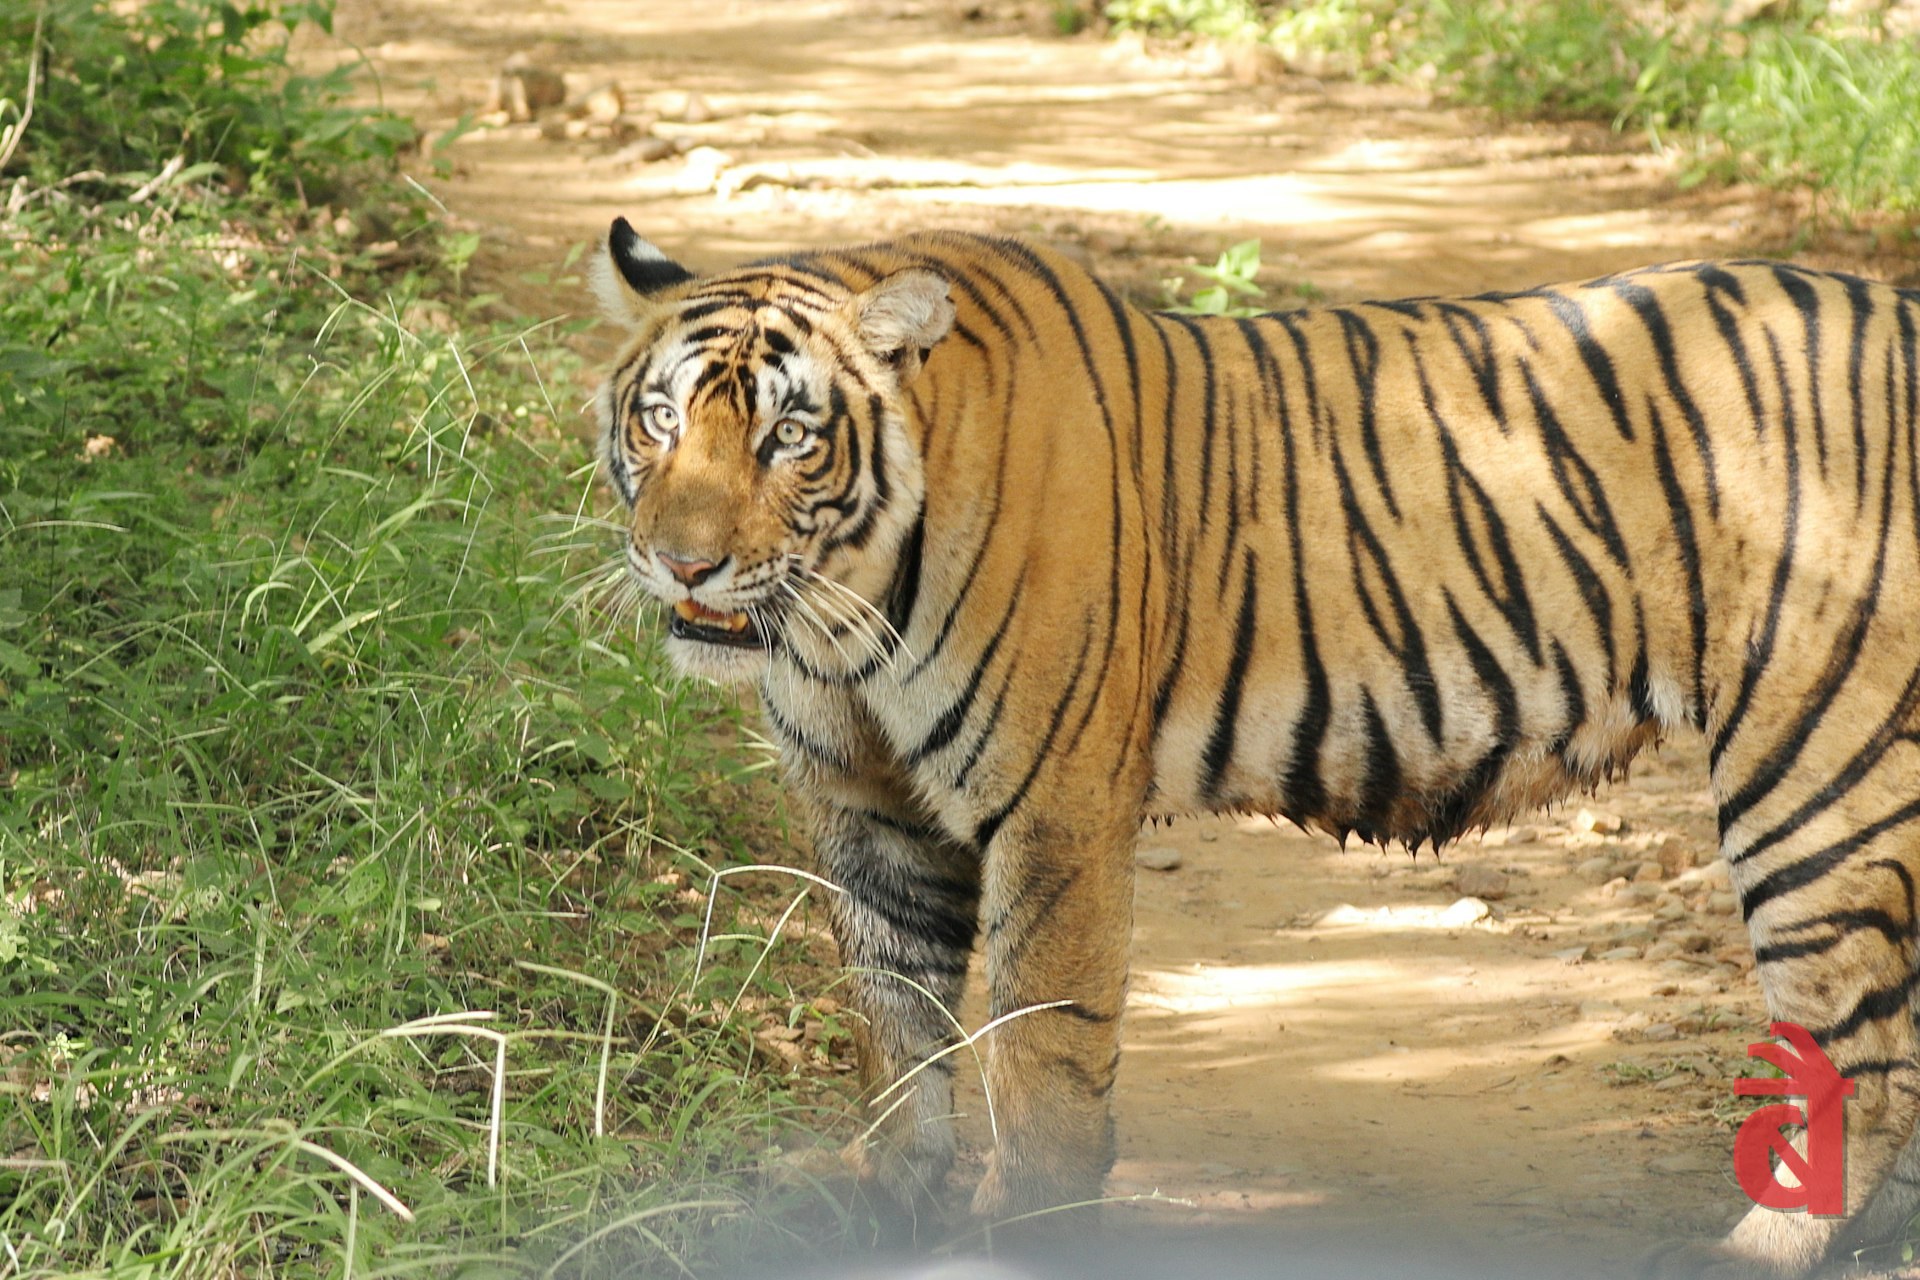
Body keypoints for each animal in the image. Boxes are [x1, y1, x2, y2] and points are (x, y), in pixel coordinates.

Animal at [588, 215, 1920, 1277]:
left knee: (1864, 1050)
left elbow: (1039, 1044)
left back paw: (1757, 1248)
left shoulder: (1054, 801)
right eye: (660, 420)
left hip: (1817, 767)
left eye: (788, 437)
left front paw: (1024, 1232)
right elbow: (895, 1026)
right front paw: (888, 1213)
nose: (684, 564)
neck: (839, 613)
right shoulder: (869, 811)